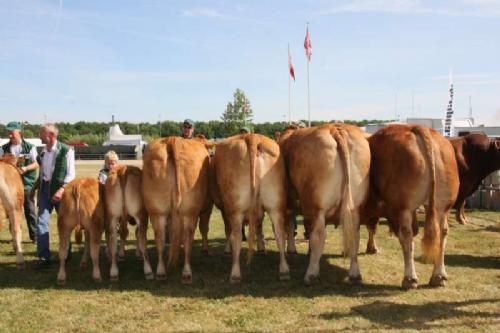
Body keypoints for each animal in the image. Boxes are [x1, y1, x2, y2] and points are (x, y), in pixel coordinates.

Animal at [143, 136, 209, 282]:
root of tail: (172, 140)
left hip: (157, 210)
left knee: (160, 237)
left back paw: (161, 272)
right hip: (190, 211)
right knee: (188, 236)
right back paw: (186, 272)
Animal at [214, 133, 290, 282]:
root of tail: (251, 136)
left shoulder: (225, 210)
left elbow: (228, 230)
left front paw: (227, 249)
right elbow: (259, 226)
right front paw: (261, 247)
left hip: (235, 208)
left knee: (236, 236)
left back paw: (235, 274)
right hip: (276, 204)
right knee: (279, 234)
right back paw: (284, 271)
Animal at [280, 123, 370, 284]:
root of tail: (334, 128)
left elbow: (289, 226)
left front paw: (291, 249)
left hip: (315, 206)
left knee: (318, 235)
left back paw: (311, 274)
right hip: (355, 206)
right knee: (355, 235)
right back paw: (354, 273)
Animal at [362, 124, 458, 288]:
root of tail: (417, 127)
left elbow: (371, 226)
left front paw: (371, 248)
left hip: (403, 208)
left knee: (406, 235)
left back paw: (409, 278)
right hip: (443, 206)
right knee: (443, 232)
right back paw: (438, 276)